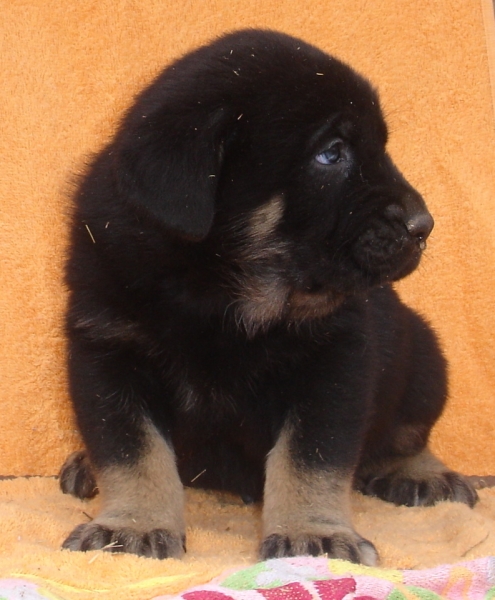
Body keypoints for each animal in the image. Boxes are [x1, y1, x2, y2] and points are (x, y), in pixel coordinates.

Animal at [60, 28, 478, 564]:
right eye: (332, 153)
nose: (423, 226)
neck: (219, 288)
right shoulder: (108, 352)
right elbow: (133, 451)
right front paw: (132, 524)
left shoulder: (335, 361)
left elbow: (310, 457)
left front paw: (312, 533)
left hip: (424, 357)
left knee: (408, 433)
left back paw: (422, 473)